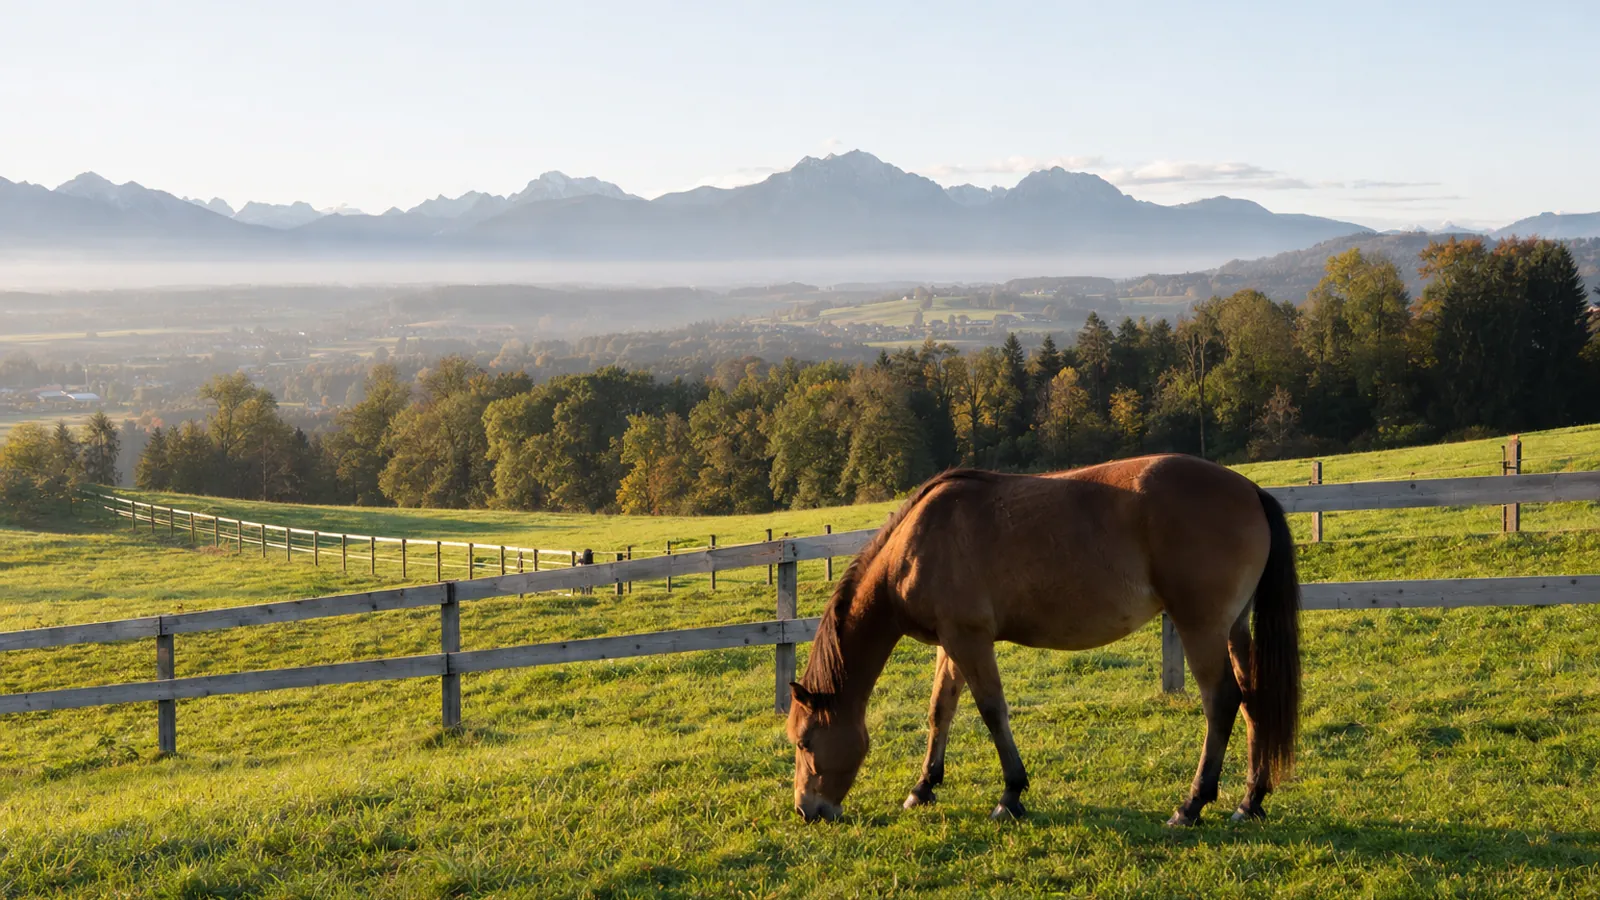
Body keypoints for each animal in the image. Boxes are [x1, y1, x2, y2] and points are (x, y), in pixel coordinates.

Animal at [785, 454, 1301, 826]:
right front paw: (923, 788)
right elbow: (940, 711)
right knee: (1254, 701)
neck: (915, 545)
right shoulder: (951, 642)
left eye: (806, 742)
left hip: (1201, 627)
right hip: (1233, 629)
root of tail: (1250, 490)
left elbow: (992, 711)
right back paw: (1250, 801)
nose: (807, 810)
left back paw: (1192, 805)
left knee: (1222, 702)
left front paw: (1010, 795)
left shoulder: (970, 639)